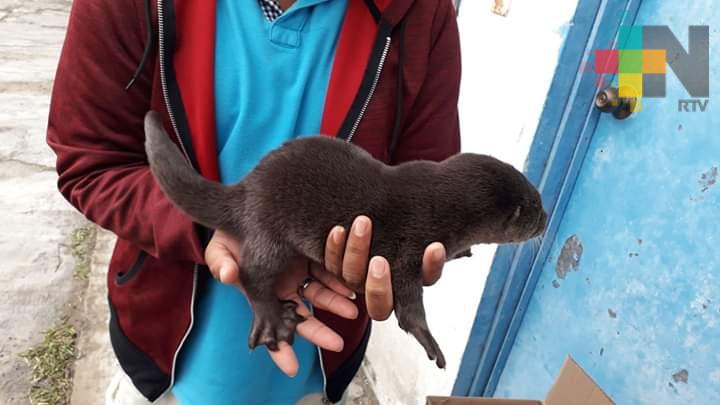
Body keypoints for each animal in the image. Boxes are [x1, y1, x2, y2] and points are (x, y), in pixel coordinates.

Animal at [143, 109, 544, 366]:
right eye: (537, 207)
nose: (546, 220)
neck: (441, 206)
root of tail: (247, 187)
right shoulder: (410, 248)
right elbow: (409, 306)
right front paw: (428, 339)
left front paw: (462, 252)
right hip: (268, 226)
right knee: (251, 272)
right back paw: (273, 320)